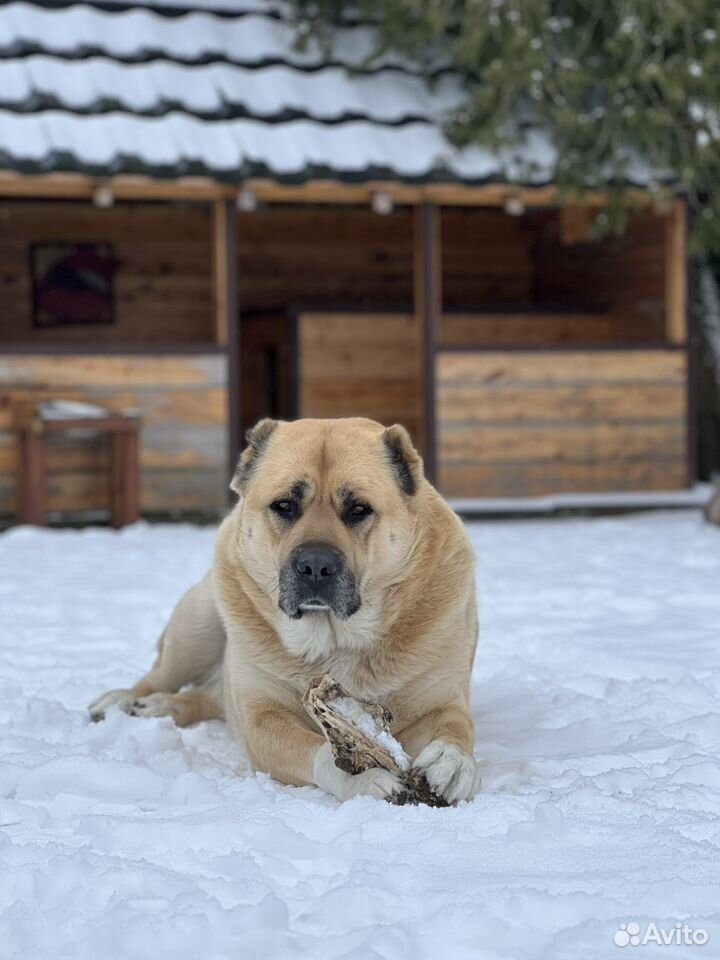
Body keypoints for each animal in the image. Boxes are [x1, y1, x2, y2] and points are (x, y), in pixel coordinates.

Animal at [91, 420, 484, 804]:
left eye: (359, 509)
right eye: (284, 506)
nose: (316, 566)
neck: (334, 641)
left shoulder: (443, 698)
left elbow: (455, 724)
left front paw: (452, 762)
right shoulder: (260, 718)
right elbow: (317, 750)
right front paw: (362, 777)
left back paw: (158, 707)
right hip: (196, 624)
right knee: (161, 675)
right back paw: (125, 700)